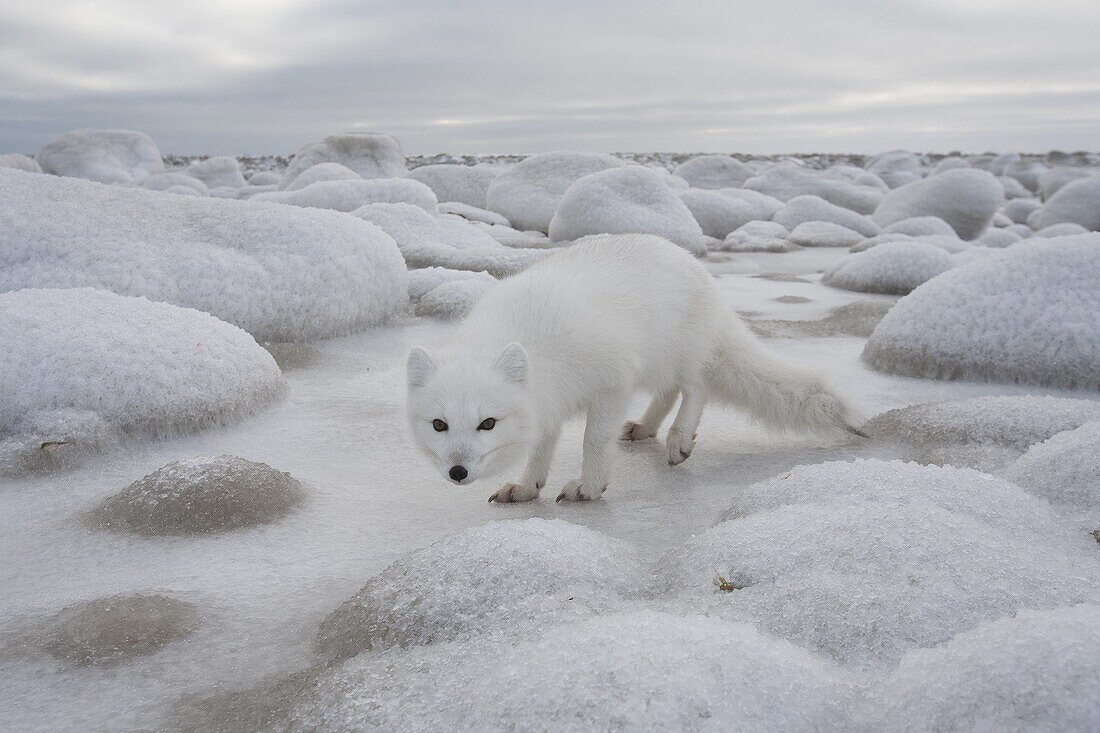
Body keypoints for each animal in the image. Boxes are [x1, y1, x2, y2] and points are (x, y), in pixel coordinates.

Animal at [409, 234, 862, 501]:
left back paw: (679, 439)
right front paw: (526, 486)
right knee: (670, 390)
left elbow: (593, 439)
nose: (457, 471)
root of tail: (698, 267)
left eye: (487, 423)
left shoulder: (613, 382)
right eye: (439, 425)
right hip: (656, 364)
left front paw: (589, 486)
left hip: (674, 352)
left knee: (696, 386)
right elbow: (541, 446)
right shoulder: (549, 401)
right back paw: (646, 427)